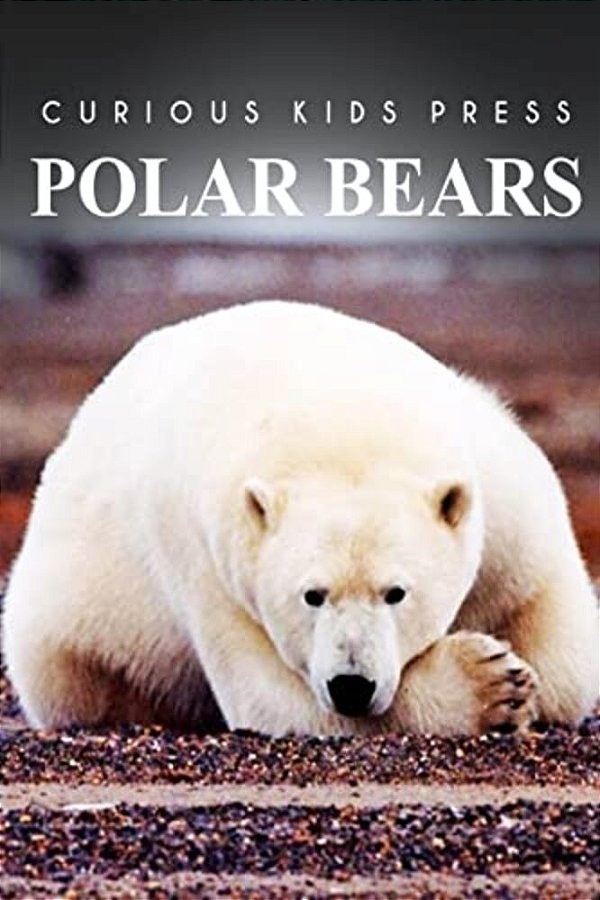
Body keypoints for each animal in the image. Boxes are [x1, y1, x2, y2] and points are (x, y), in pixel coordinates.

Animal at [2, 300, 598, 736]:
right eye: (312, 594)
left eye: (396, 592)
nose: (352, 685)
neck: (336, 416)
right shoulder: (208, 556)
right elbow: (273, 697)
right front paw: (492, 684)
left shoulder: (503, 493)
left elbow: (562, 650)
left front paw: (523, 679)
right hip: (70, 626)